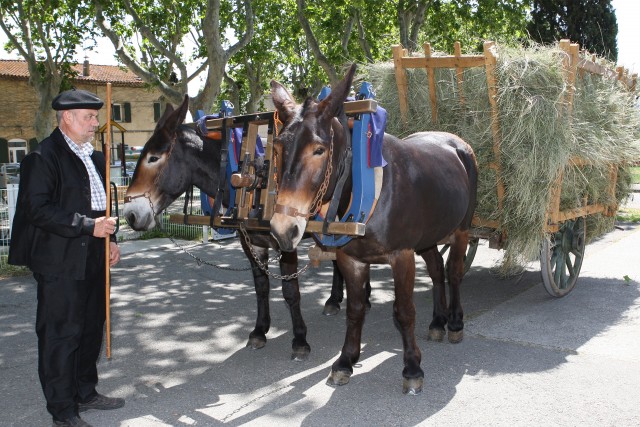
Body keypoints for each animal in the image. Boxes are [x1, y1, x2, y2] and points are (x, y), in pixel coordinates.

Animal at [122, 95, 344, 361]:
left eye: (153, 158)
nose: (130, 215)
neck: (255, 182)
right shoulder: (251, 243)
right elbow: (261, 287)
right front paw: (259, 331)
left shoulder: (287, 241)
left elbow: (291, 291)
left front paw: (300, 339)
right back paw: (334, 300)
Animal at [268, 64, 478, 394]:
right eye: (278, 147)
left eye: (319, 150)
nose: (282, 228)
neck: (364, 192)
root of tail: (453, 140)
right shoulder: (350, 259)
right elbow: (355, 310)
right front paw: (345, 361)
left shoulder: (402, 255)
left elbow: (404, 311)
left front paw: (412, 367)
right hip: (429, 236)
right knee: (436, 270)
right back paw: (437, 322)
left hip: (461, 230)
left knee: (454, 272)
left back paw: (455, 323)